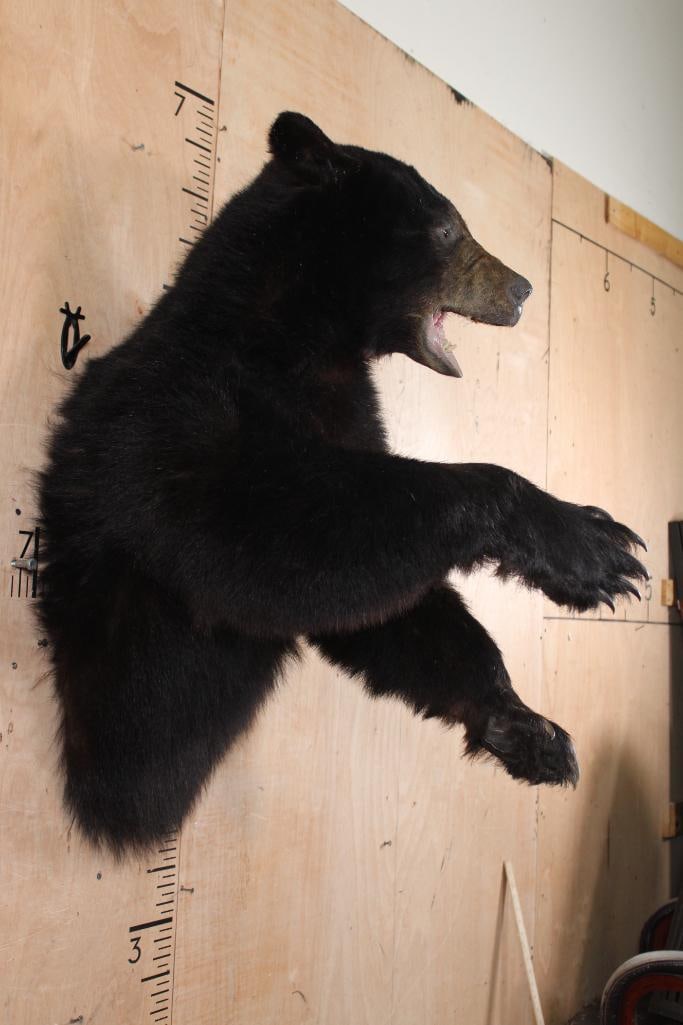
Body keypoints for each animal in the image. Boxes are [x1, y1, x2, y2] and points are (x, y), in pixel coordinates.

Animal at [37, 112, 647, 853]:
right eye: (448, 227)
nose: (524, 288)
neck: (297, 334)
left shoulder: (349, 418)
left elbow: (382, 603)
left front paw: (528, 727)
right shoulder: (185, 411)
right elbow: (274, 539)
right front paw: (595, 545)